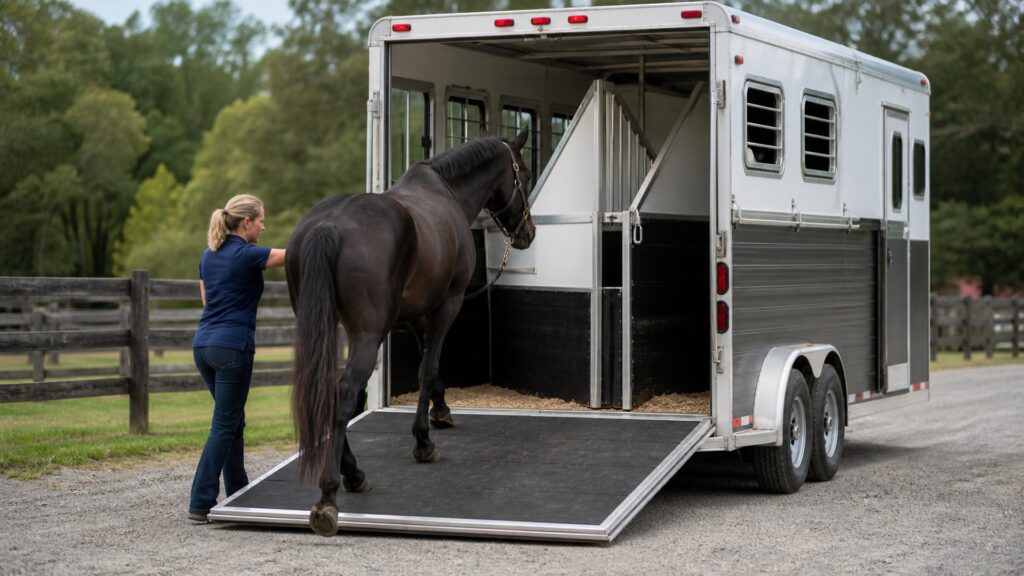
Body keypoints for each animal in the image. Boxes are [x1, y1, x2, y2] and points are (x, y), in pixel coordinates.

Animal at [285, 129, 535, 536]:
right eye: (524, 174)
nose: (528, 233)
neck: (447, 192)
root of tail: (330, 226)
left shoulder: (417, 312)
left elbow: (426, 365)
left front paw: (441, 412)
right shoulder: (448, 303)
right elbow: (429, 367)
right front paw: (423, 442)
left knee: (328, 391)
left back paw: (354, 473)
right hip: (367, 335)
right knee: (345, 392)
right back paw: (331, 494)